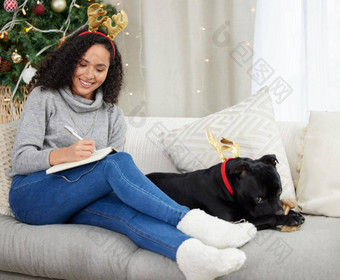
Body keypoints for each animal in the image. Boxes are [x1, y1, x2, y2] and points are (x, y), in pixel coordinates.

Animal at [146, 155, 306, 230]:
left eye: (280, 191)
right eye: (258, 199)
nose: (280, 212)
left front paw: (292, 213)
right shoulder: (233, 223)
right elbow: (267, 216)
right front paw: (288, 218)